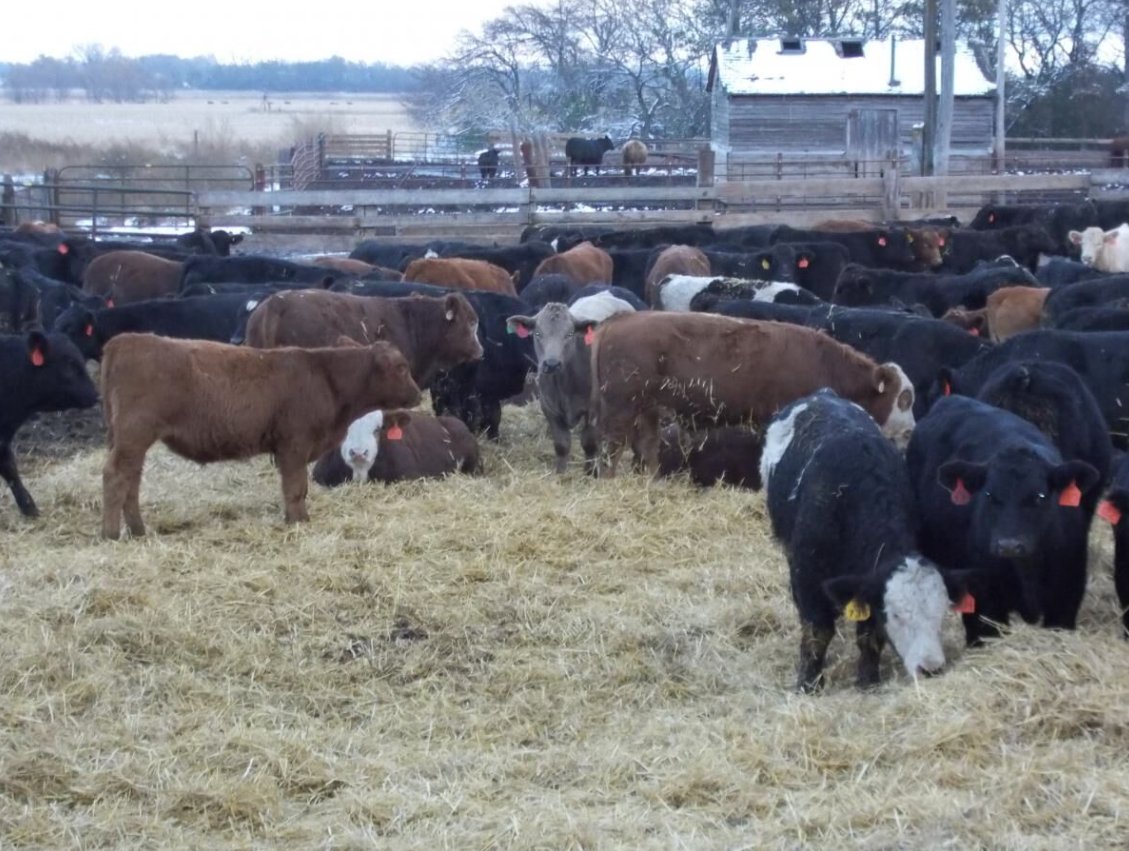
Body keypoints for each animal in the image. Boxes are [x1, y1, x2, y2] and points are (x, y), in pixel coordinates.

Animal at [100, 334, 421, 537]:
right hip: (134, 435)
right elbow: (296, 488)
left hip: (130, 441)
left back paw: (138, 530)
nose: (418, 394)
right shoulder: (294, 445)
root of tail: (124, 340)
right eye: (401, 367)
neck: (325, 377)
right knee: (116, 476)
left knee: (131, 481)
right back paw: (111, 533)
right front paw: (298, 521)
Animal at [590, 312, 916, 476]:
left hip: (648, 408)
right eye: (904, 398)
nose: (911, 430)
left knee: (647, 444)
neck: (825, 364)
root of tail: (616, 320)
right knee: (611, 447)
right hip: (621, 407)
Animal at [762, 389, 973, 692]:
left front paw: (867, 679)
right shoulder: (806, 577)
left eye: (942, 611)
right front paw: (809, 683)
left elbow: (869, 634)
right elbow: (817, 632)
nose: (930, 668)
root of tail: (822, 394)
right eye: (895, 614)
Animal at [907, 394, 1101, 645]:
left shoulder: (1066, 596)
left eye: (1040, 496)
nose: (1008, 545)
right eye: (989, 495)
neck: (1027, 571)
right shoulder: (986, 600)